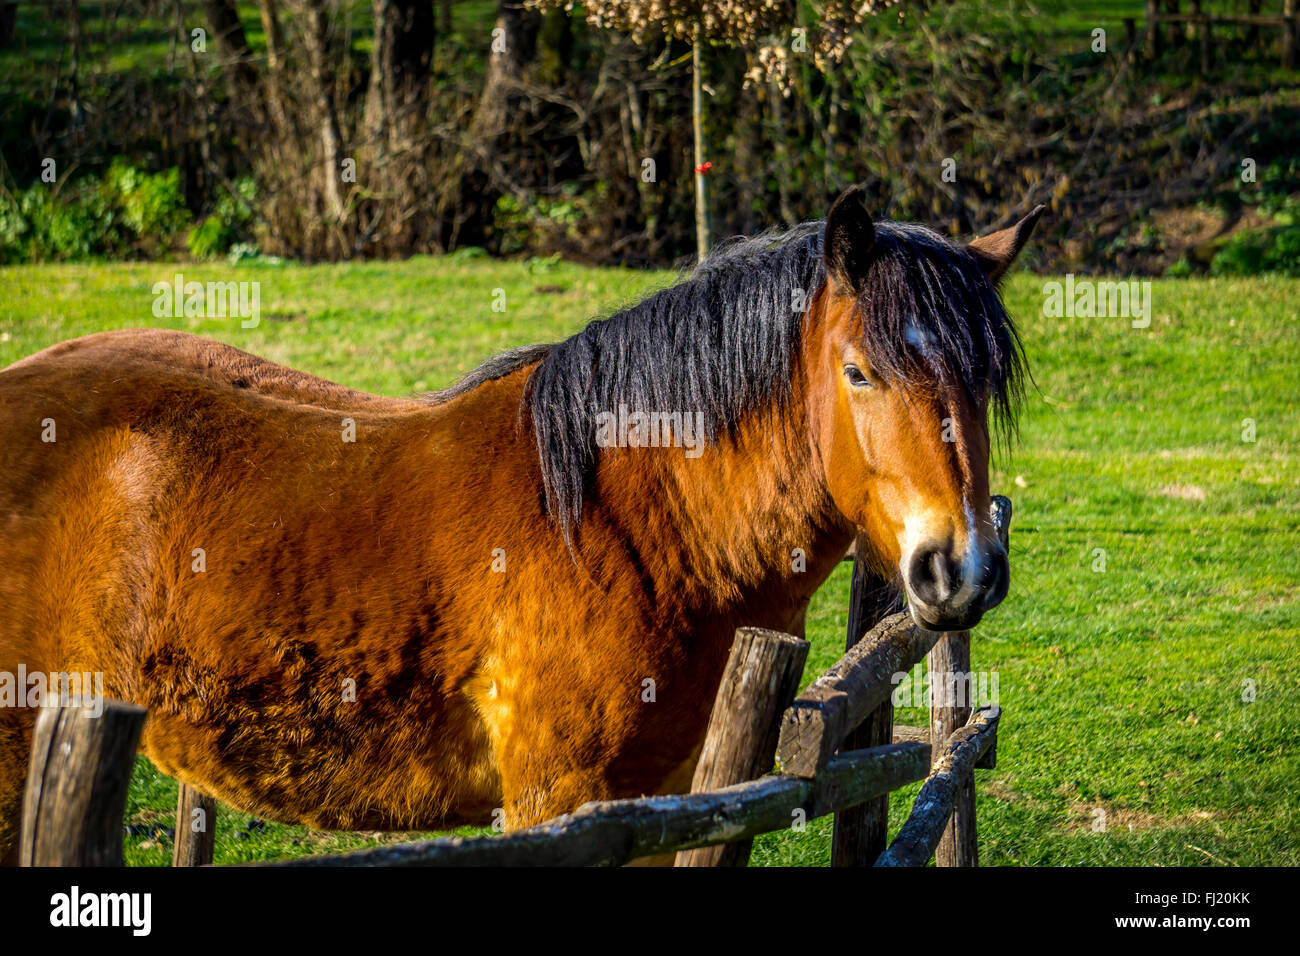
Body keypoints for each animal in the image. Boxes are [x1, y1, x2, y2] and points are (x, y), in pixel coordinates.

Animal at [0, 187, 1041, 862]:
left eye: (984, 378)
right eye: (860, 371)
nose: (961, 569)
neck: (634, 529)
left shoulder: (663, 802)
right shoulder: (558, 801)